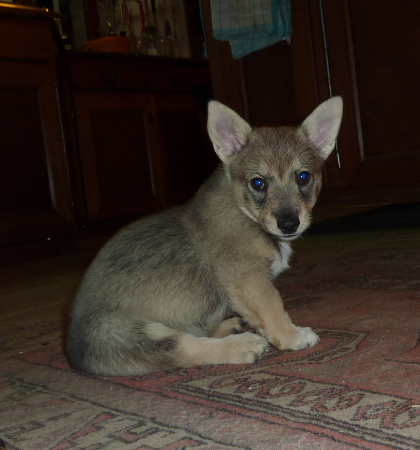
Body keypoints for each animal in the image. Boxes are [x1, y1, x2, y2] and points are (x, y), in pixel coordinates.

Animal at [67, 97, 343, 376]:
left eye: (303, 177)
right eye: (257, 183)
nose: (288, 225)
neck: (242, 210)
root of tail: (73, 352)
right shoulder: (249, 278)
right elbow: (273, 307)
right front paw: (291, 335)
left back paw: (232, 326)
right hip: (143, 333)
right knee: (187, 348)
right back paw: (241, 346)